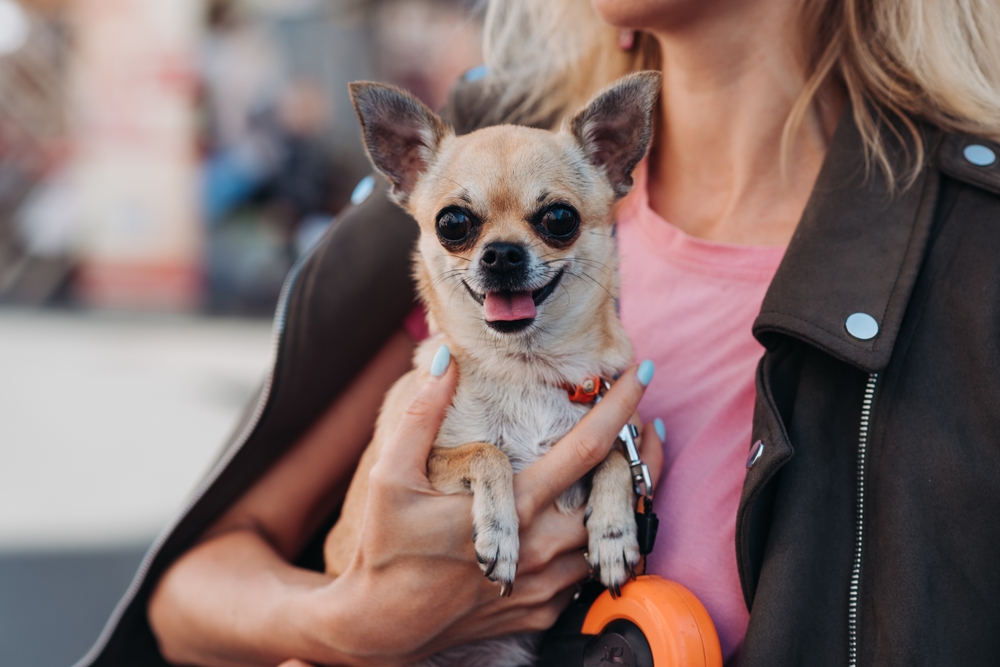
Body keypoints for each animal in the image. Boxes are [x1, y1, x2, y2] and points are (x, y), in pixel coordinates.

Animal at [324, 70, 660, 664]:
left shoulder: (618, 426)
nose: (501, 252)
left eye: (560, 219)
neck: (523, 369)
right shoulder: (420, 466)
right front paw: (501, 535)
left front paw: (614, 534)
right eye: (453, 223)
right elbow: (487, 452)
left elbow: (616, 458)